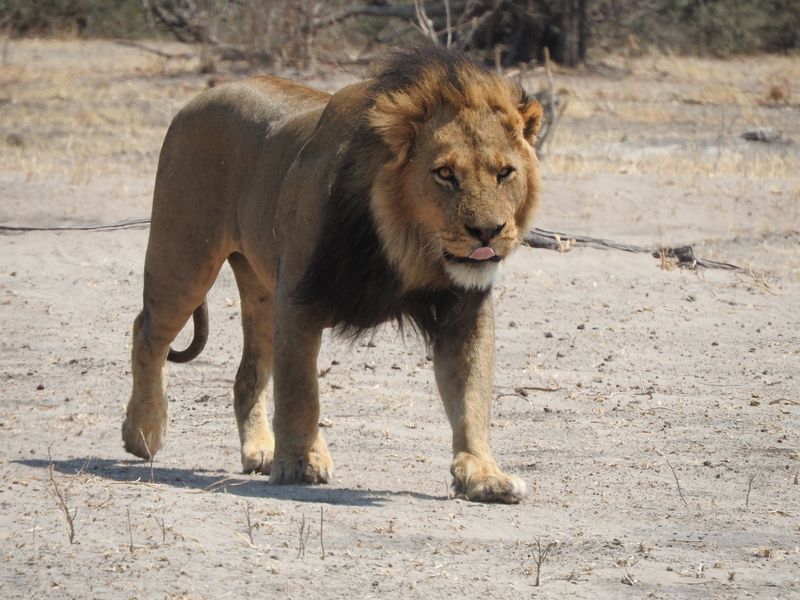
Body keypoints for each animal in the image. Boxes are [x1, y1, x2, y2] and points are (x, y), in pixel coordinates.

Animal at [123, 45, 544, 502]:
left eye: (504, 173)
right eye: (445, 174)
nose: (487, 232)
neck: (403, 246)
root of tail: (197, 99)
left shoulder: (463, 308)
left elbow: (472, 394)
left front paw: (483, 474)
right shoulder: (299, 297)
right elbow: (300, 390)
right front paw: (299, 463)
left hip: (263, 291)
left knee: (249, 373)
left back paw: (262, 448)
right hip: (185, 260)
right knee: (147, 333)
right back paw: (143, 432)